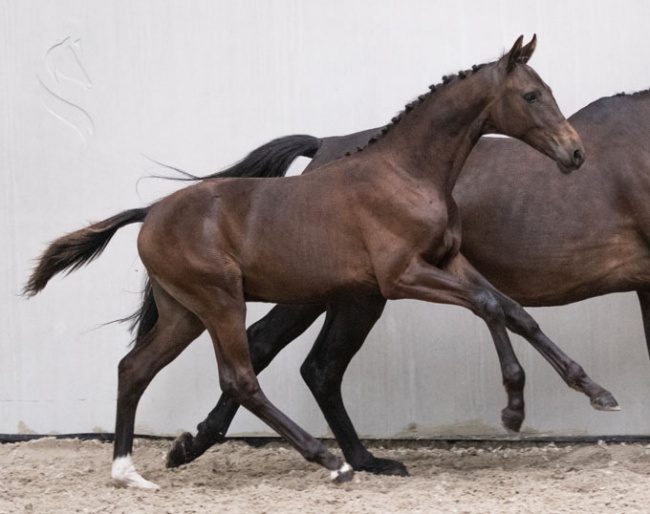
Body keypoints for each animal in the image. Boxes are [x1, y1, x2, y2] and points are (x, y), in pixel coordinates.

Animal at [25, 37, 604, 488]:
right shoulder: (402, 276)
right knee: (242, 377)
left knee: (134, 368)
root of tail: (151, 212)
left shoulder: (448, 261)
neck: (407, 173)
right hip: (221, 302)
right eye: (531, 95)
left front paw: (595, 390)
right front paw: (513, 408)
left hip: (183, 312)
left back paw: (129, 472)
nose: (576, 154)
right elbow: (488, 306)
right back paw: (330, 460)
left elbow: (514, 311)